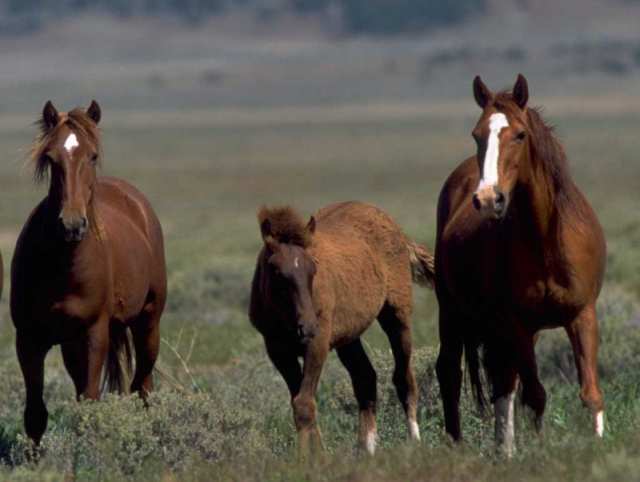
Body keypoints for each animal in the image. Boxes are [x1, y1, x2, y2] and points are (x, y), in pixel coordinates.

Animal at [13, 100, 168, 446]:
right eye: (50, 157)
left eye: (93, 155)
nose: (72, 225)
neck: (62, 268)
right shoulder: (29, 339)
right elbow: (35, 414)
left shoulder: (94, 334)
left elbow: (91, 401)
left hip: (148, 324)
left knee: (143, 387)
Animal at [250, 201, 436, 458]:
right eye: (276, 272)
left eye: (313, 269)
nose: (307, 327)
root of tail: (397, 229)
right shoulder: (278, 350)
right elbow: (301, 402)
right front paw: (317, 455)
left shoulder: (317, 345)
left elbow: (304, 403)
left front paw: (307, 460)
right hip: (349, 337)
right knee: (365, 378)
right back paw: (366, 450)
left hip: (397, 317)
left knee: (403, 378)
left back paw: (414, 442)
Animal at [436, 72, 604, 456]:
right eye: (476, 134)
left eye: (520, 135)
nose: (488, 198)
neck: (547, 241)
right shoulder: (518, 324)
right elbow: (536, 395)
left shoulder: (582, 314)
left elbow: (590, 393)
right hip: (451, 311)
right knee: (450, 372)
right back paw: (457, 447)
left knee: (503, 381)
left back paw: (504, 449)